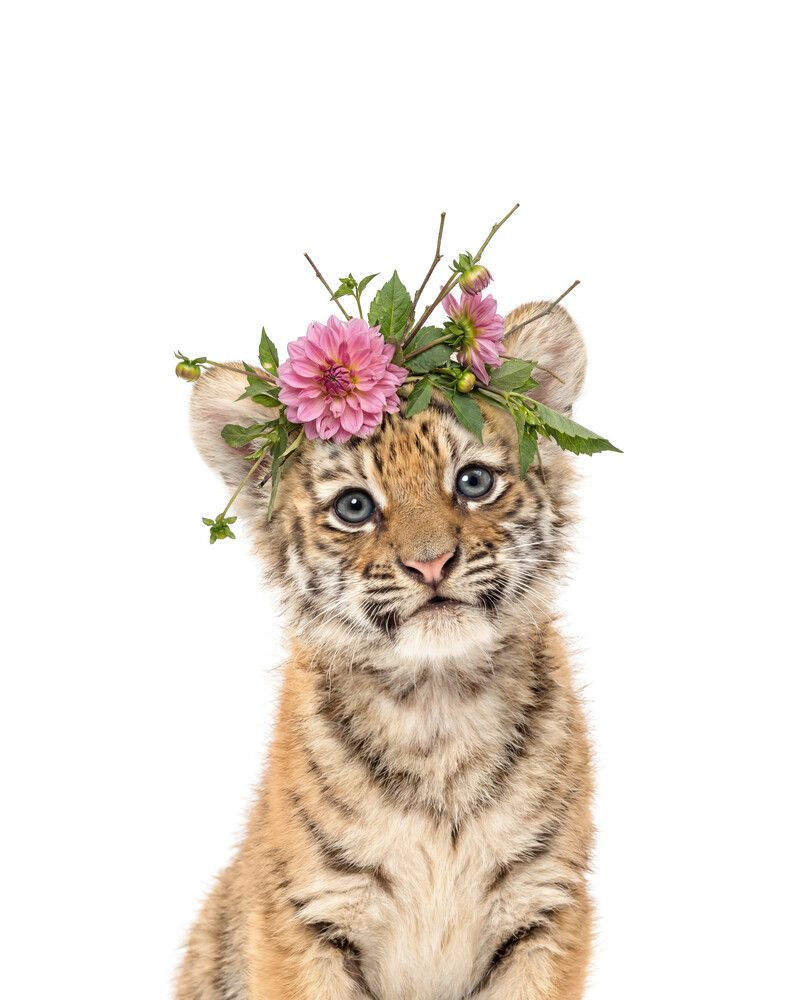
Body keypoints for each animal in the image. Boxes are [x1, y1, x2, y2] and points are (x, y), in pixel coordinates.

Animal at [175, 300, 595, 1000]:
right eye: (354, 506)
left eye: (473, 481)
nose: (431, 564)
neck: (438, 704)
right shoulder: (308, 914)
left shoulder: (544, 906)